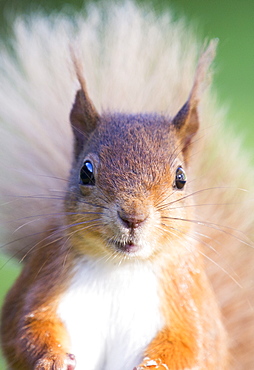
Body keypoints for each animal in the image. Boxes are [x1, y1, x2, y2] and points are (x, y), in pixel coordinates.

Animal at [0, 1, 254, 368]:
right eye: (86, 171)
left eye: (181, 178)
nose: (133, 217)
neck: (121, 269)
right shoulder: (44, 281)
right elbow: (24, 326)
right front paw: (52, 358)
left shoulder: (188, 304)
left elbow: (191, 346)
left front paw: (155, 365)